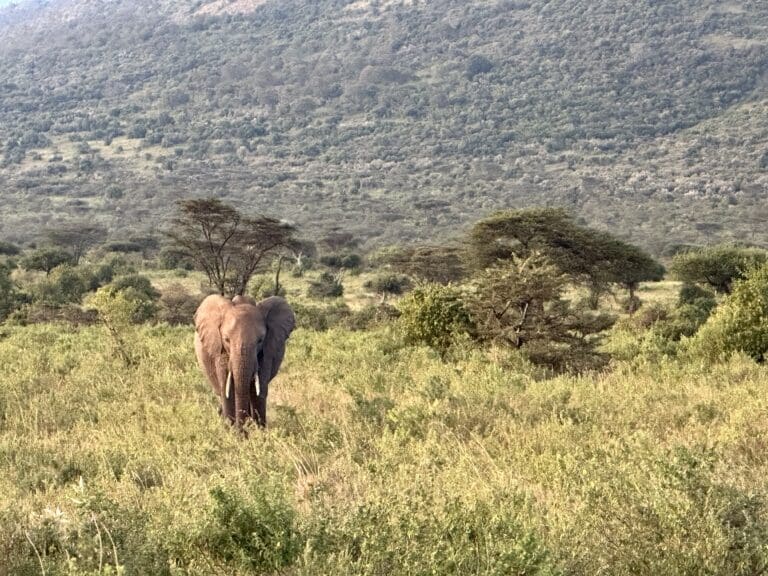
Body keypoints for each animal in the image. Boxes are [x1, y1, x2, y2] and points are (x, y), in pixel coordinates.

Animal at [194, 294, 296, 426]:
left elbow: (258, 390)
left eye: (260, 340)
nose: (241, 428)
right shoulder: (220, 351)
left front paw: (258, 430)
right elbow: (227, 390)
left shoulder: (265, 352)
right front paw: (231, 429)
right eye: (226, 339)